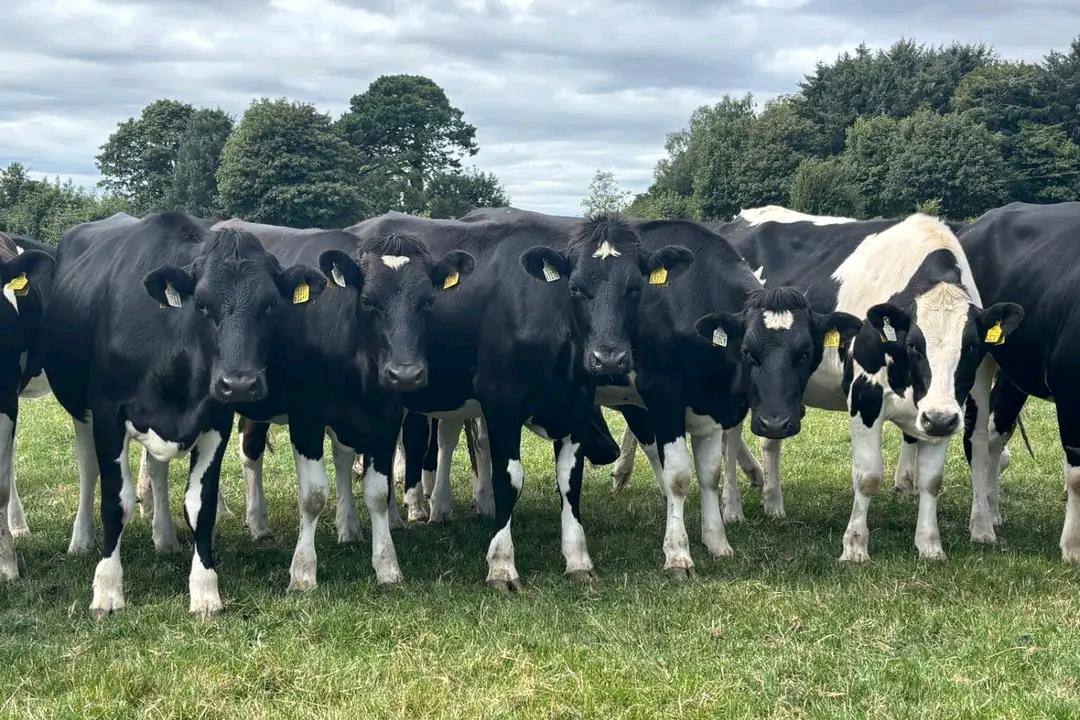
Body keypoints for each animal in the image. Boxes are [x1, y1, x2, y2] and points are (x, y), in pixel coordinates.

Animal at [42, 212, 324, 615]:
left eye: (270, 305)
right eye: (202, 304)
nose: (239, 384)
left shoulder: (216, 421)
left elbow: (200, 505)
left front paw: (205, 590)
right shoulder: (108, 414)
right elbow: (115, 501)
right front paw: (107, 589)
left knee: (156, 469)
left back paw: (164, 537)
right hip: (81, 412)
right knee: (88, 469)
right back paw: (81, 539)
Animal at [957, 202, 1080, 560]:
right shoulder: (1070, 390)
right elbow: (1077, 476)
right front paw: (1073, 547)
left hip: (1015, 372)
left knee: (999, 430)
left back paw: (992, 509)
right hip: (977, 359)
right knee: (977, 436)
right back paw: (981, 523)